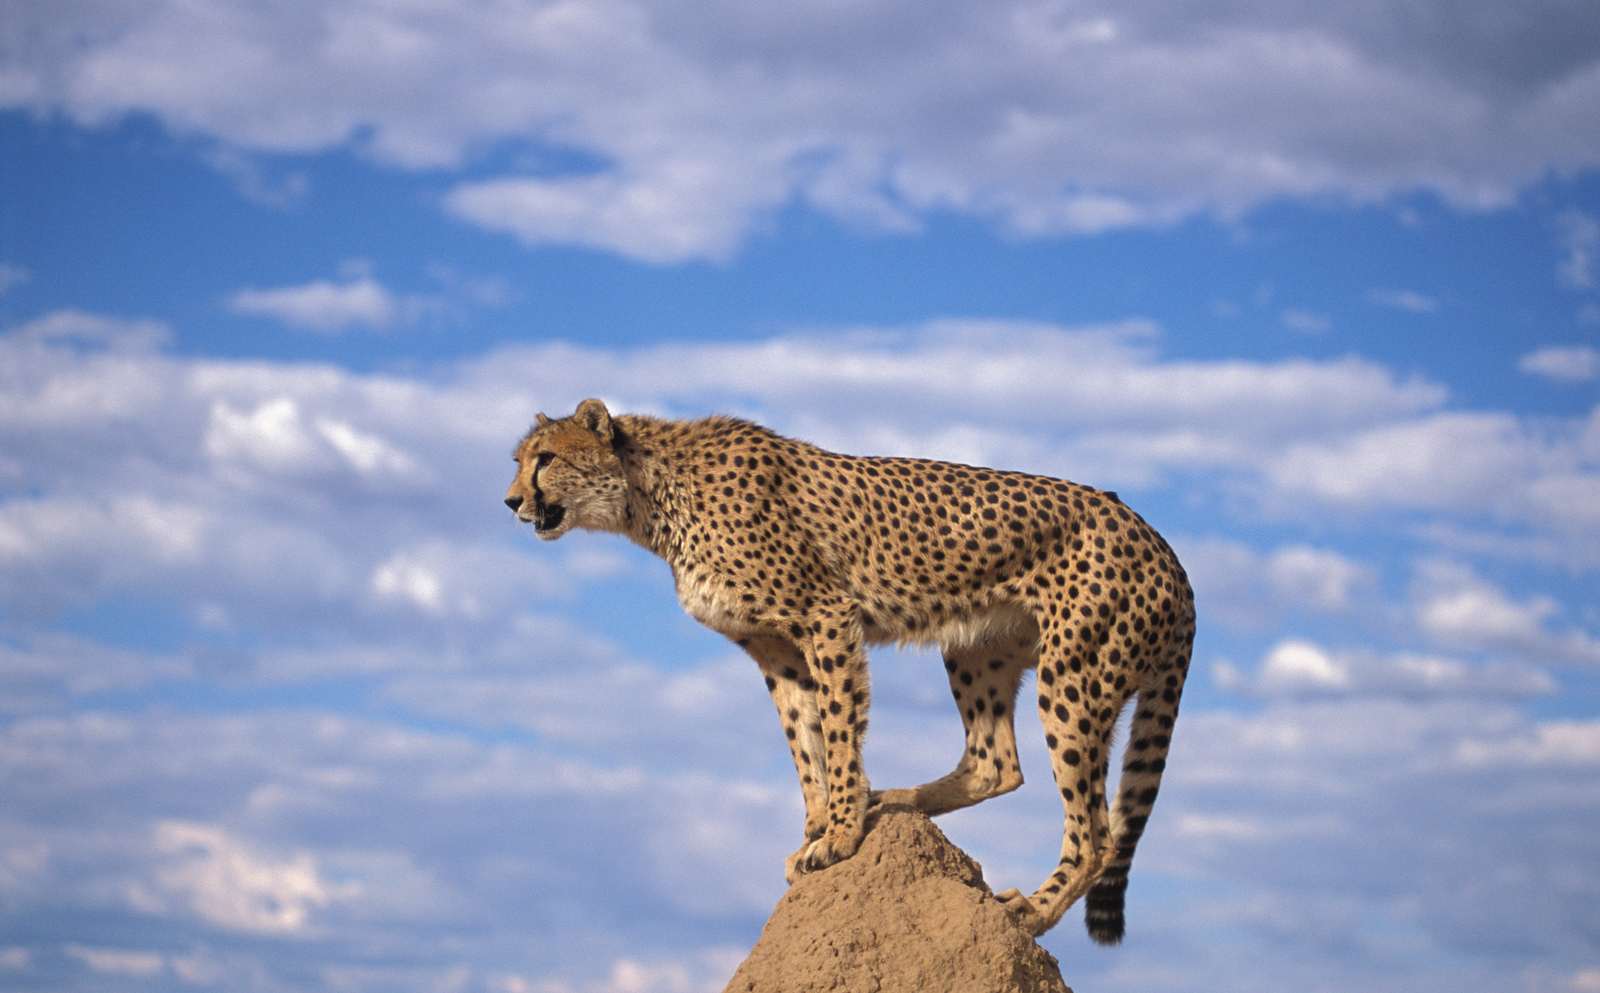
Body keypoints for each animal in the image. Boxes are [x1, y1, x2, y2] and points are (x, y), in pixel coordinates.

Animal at [505, 396, 1196, 940]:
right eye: (519, 461)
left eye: (548, 459)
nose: (510, 501)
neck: (652, 496)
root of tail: (1163, 544)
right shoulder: (775, 649)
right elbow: (804, 741)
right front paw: (817, 830)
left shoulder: (828, 616)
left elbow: (837, 729)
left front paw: (838, 836)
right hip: (978, 645)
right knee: (996, 763)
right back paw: (892, 800)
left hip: (1074, 674)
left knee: (1097, 835)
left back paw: (1028, 910)